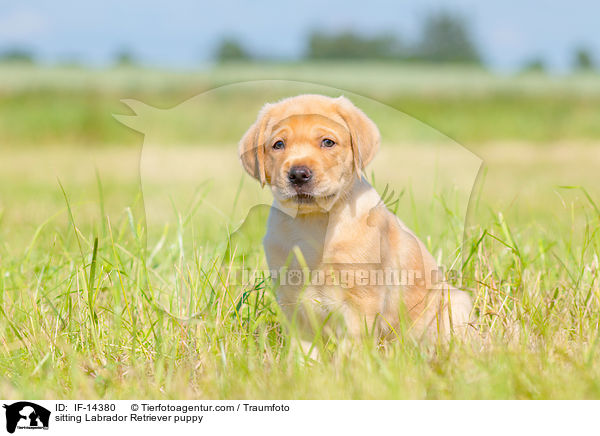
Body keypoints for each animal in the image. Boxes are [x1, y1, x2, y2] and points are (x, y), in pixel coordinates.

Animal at [238, 94, 468, 344]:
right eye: (278, 144)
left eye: (328, 142)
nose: (298, 174)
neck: (315, 222)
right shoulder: (292, 300)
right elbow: (304, 348)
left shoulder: (361, 301)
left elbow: (353, 346)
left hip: (455, 305)